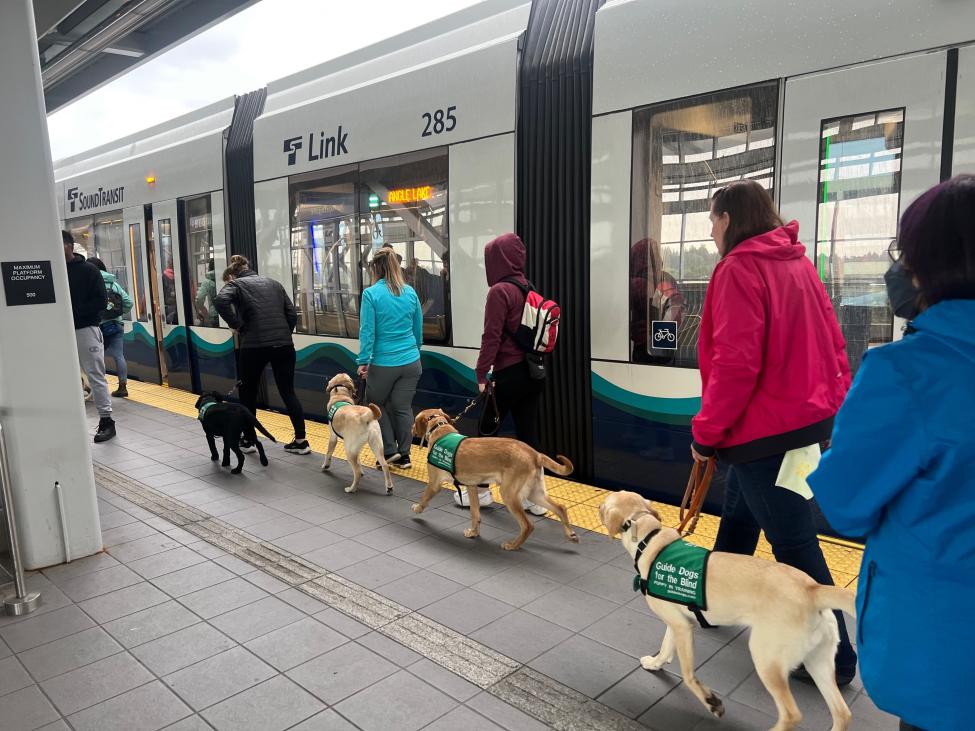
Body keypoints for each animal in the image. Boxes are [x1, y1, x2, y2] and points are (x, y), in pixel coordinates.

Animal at [408, 408, 576, 552]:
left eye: (414, 421)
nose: (411, 429)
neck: (439, 429)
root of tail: (535, 454)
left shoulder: (434, 483)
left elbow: (424, 498)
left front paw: (417, 508)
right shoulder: (471, 486)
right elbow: (475, 514)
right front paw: (474, 532)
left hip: (509, 494)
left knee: (528, 525)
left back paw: (513, 545)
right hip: (535, 492)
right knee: (560, 507)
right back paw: (570, 534)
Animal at [600, 492, 856, 731]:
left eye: (603, 505)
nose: (600, 507)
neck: (648, 539)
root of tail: (812, 590)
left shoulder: (683, 627)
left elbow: (688, 674)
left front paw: (710, 701)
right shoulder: (678, 622)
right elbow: (665, 647)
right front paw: (655, 663)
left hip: (767, 658)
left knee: (792, 714)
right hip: (818, 662)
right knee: (843, 713)